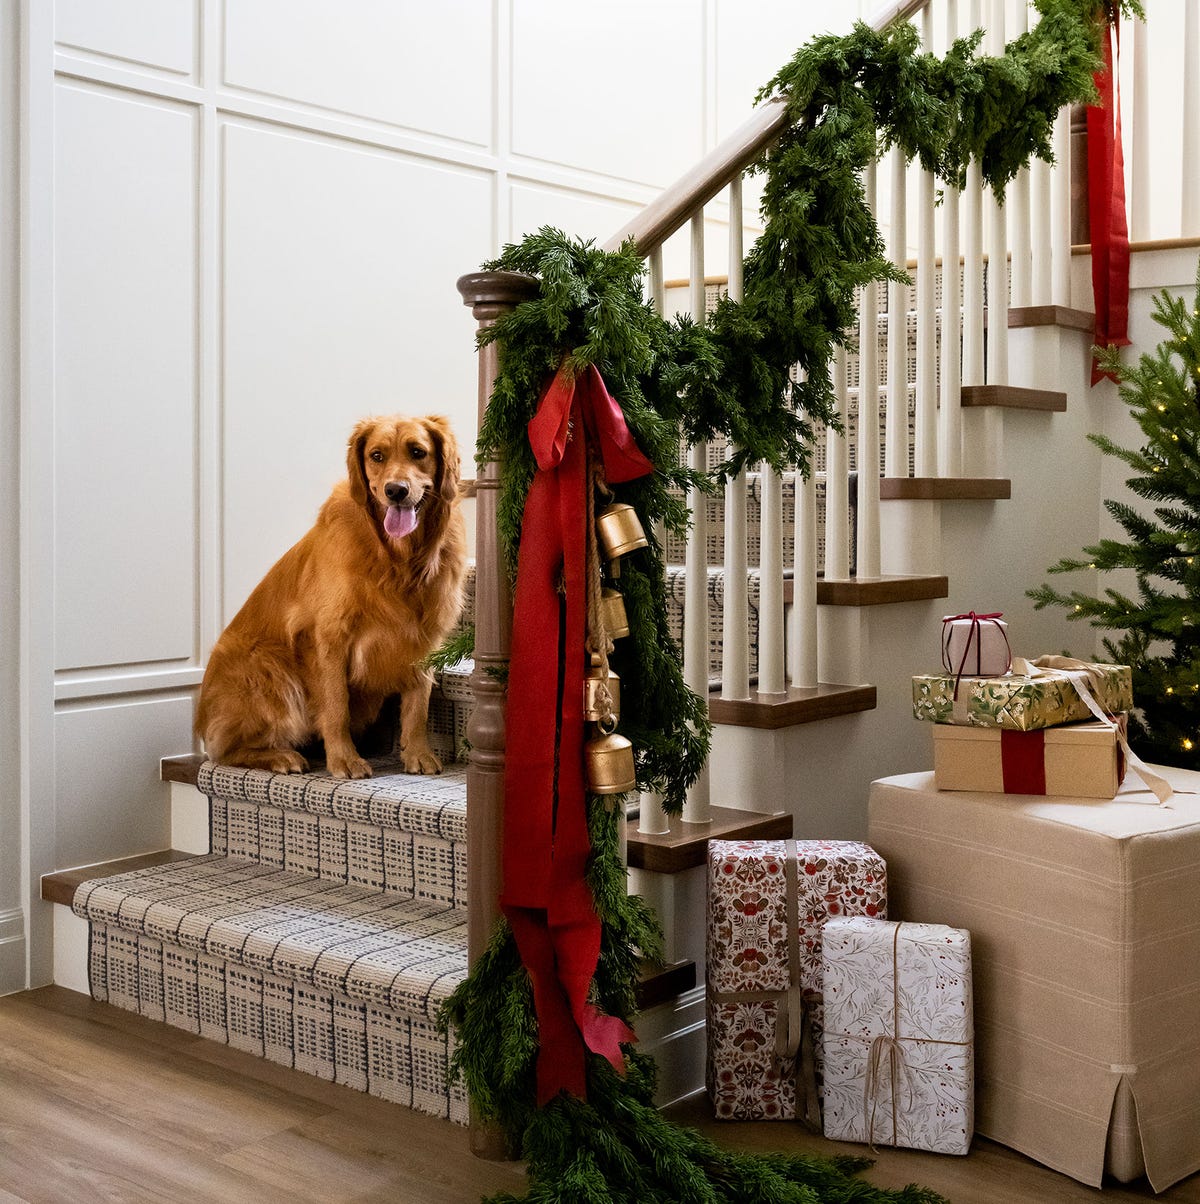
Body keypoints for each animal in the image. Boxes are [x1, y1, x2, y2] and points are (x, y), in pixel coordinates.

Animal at [193, 416, 467, 780]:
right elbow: (336, 707)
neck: (397, 560)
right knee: (223, 752)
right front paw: (344, 760)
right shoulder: (327, 636)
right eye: (377, 455)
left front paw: (418, 753)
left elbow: (417, 705)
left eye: (418, 452)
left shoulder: (425, 635)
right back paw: (283, 756)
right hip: (270, 669)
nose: (395, 490)